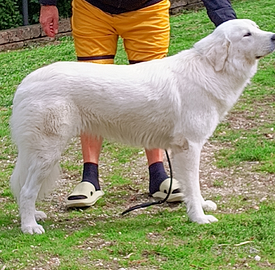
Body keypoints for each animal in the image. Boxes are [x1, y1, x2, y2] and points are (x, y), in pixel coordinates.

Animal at [9, 19, 274, 234]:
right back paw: (30, 226)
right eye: (246, 34)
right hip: (47, 153)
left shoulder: (184, 149)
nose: (274, 36)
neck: (210, 68)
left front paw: (201, 205)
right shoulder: (189, 148)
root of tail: (25, 83)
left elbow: (193, 188)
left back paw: (33, 217)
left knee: (23, 188)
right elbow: (194, 185)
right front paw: (199, 218)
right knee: (27, 191)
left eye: (257, 28)